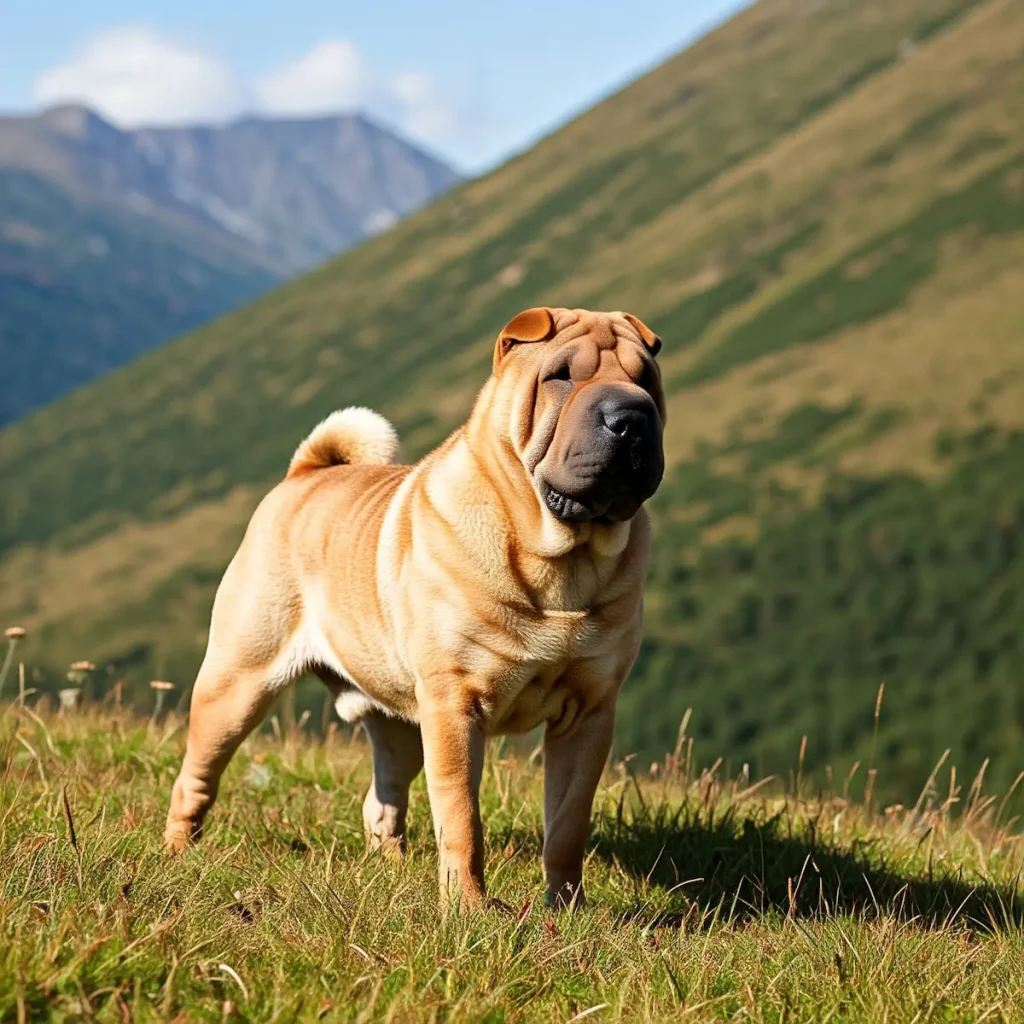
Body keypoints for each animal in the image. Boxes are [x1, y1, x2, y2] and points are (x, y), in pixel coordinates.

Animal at [164, 305, 667, 913]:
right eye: (562, 375)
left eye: (647, 379)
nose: (631, 416)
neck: (562, 564)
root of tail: (304, 475)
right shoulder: (455, 703)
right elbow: (462, 816)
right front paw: (469, 909)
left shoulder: (589, 713)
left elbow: (568, 822)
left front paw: (566, 907)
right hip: (238, 682)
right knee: (197, 774)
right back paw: (178, 852)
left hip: (399, 722)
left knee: (383, 795)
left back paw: (392, 867)